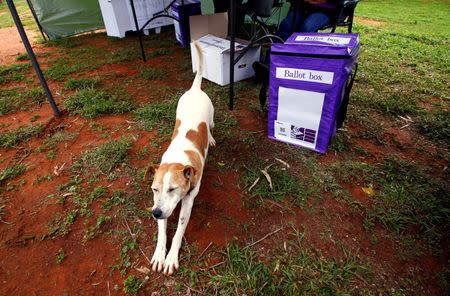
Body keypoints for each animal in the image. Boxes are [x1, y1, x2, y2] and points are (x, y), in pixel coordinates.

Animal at [144, 41, 214, 276]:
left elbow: (177, 233)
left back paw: (211, 138)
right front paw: (159, 255)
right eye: (154, 189)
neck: (178, 160)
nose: (155, 213)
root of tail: (195, 89)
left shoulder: (187, 203)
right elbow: (162, 233)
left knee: (211, 127)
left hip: (212, 117)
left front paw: (171, 257)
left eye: (173, 189)